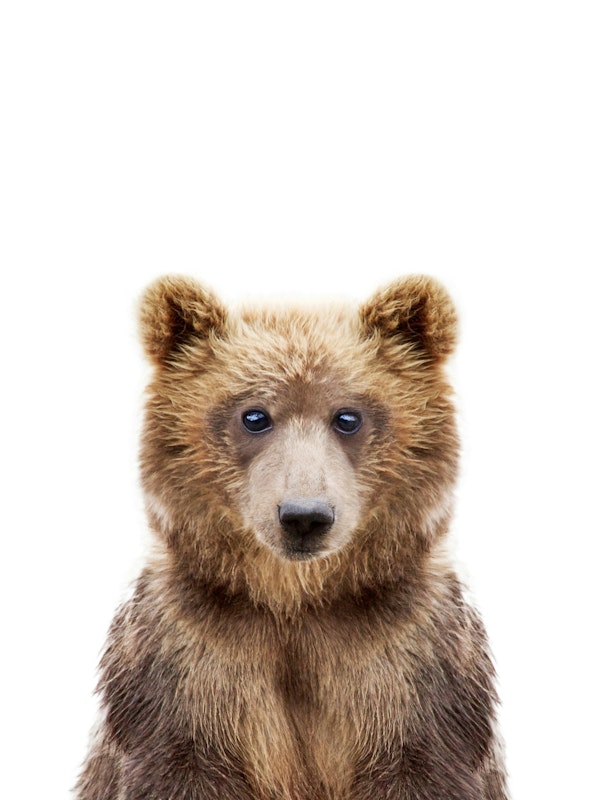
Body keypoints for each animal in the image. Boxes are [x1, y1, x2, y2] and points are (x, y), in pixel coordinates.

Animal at [75, 275, 508, 800]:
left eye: (347, 416)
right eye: (254, 415)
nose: (304, 516)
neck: (296, 601)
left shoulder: (412, 665)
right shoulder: (185, 665)